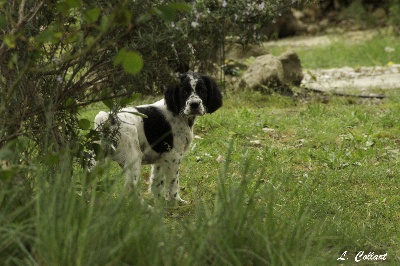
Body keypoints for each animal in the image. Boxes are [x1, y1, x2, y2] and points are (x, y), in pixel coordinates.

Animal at [95, 71, 223, 203]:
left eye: (202, 90)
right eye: (184, 91)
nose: (194, 104)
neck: (178, 113)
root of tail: (107, 119)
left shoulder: (161, 158)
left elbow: (156, 182)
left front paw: (160, 202)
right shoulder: (173, 156)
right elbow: (173, 183)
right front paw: (177, 201)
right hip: (133, 157)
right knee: (132, 186)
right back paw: (144, 206)